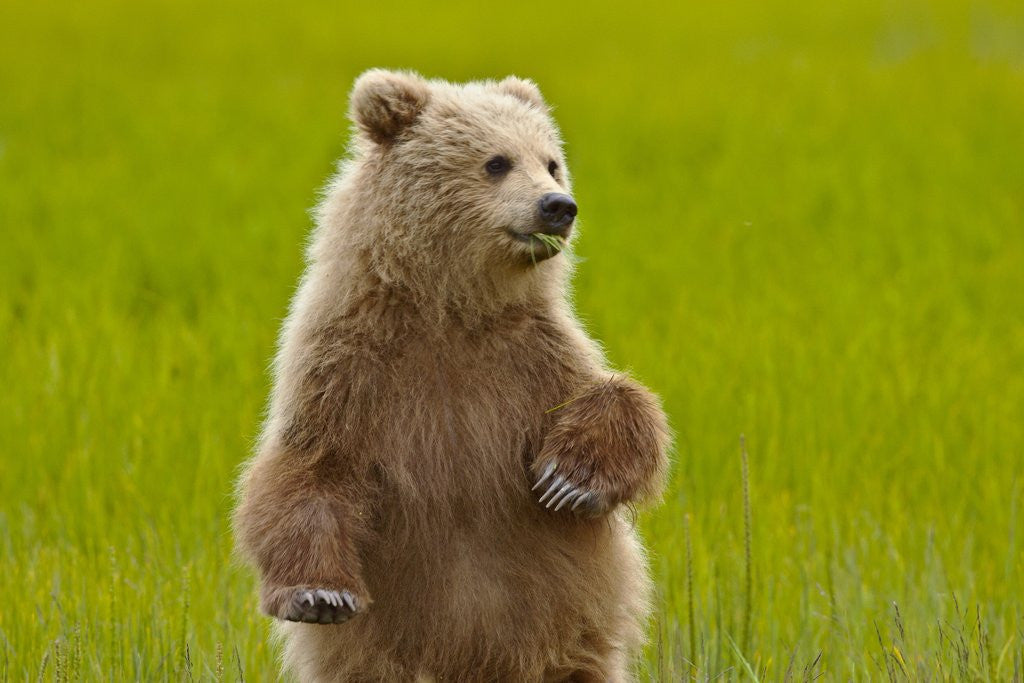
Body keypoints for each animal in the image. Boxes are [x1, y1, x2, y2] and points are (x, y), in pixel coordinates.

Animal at [233, 69, 671, 682]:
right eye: (497, 161)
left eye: (552, 161)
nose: (559, 206)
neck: (449, 309)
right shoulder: (348, 365)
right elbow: (309, 467)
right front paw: (319, 594)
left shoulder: (530, 356)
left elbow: (618, 399)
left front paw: (569, 478)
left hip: (566, 629)